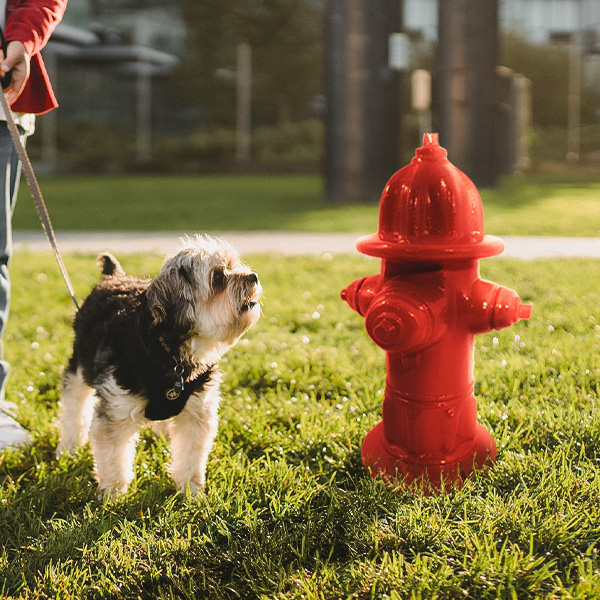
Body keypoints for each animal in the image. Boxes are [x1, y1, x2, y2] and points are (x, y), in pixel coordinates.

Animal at [57, 234, 262, 496]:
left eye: (234, 265)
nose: (253, 276)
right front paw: (113, 493)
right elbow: (113, 457)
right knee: (74, 406)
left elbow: (191, 455)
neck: (170, 356)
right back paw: (68, 447)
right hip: (80, 364)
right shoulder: (116, 408)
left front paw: (191, 490)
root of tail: (113, 276)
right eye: (217, 278)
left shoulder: (197, 411)